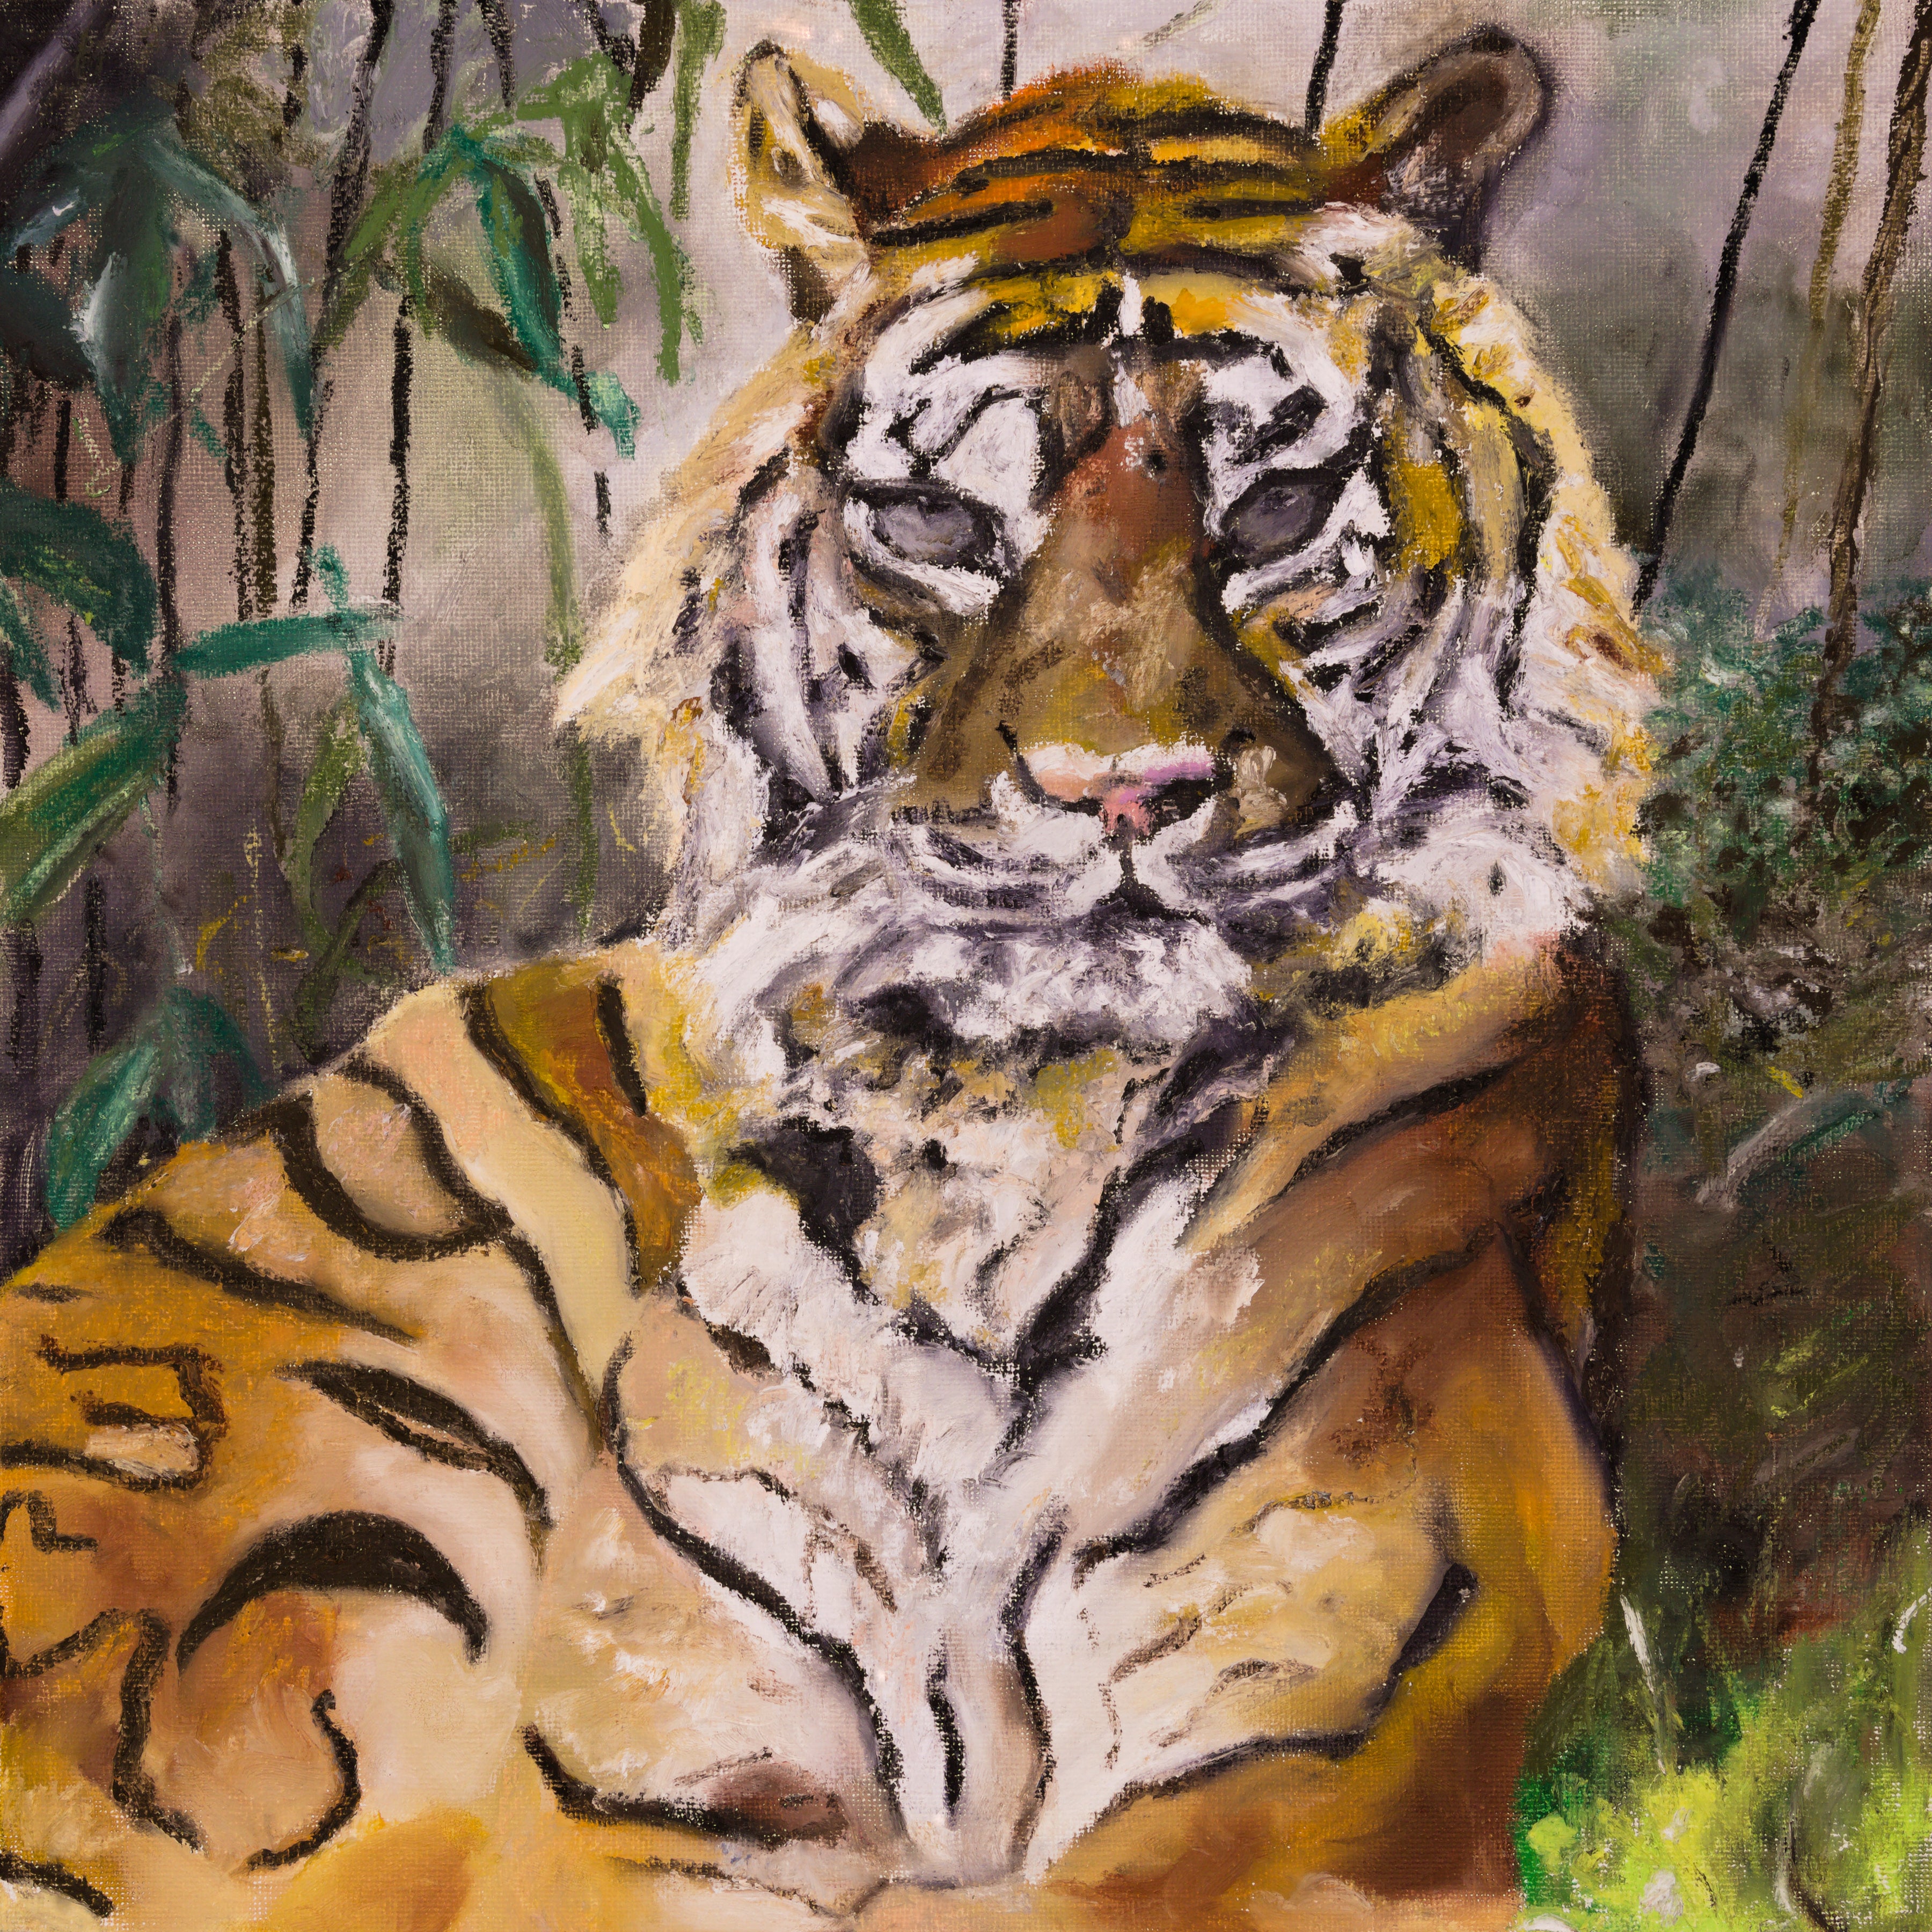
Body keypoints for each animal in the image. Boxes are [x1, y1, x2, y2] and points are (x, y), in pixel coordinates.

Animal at [1, 30, 1656, 1931]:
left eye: (1283, 509)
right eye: (935, 518)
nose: (1122, 792)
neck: (1031, 1133)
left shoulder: (1304, 1751)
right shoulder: (650, 1772)